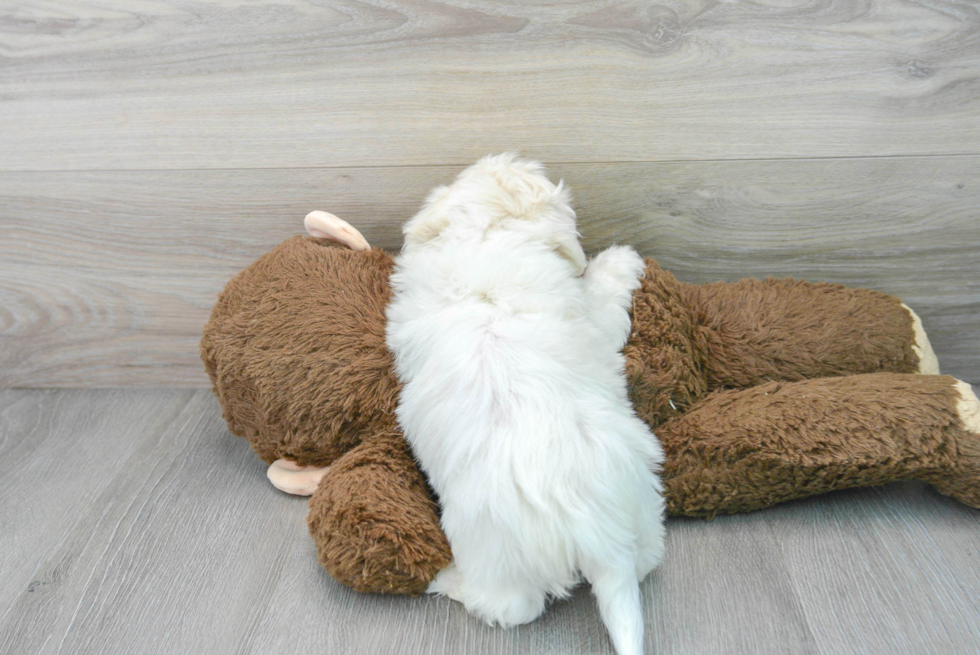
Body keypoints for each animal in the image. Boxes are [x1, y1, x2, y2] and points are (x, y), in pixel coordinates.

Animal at [384, 155, 668, 655]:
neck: (484, 241)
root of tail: (598, 533)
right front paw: (622, 258)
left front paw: (619, 258)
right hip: (632, 512)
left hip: (499, 554)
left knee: (510, 606)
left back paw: (442, 577)